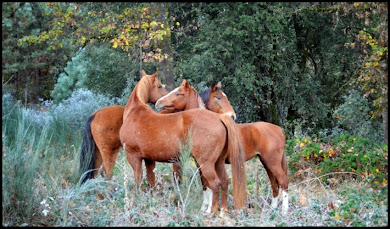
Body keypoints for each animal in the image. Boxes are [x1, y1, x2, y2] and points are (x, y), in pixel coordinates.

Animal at [119, 72, 247, 214]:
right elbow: (151, 181)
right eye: (159, 86)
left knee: (215, 183)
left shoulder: (133, 157)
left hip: (206, 163)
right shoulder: (149, 159)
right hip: (218, 162)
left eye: (177, 93)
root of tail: (219, 118)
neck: (135, 113)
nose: (158, 102)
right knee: (224, 182)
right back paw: (223, 210)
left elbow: (138, 180)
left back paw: (211, 211)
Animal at [155, 79, 290, 215]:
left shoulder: (205, 163)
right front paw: (206, 207)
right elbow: (205, 184)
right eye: (219, 97)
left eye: (178, 93)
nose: (158, 103)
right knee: (275, 184)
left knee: (283, 181)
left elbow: (209, 184)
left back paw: (284, 211)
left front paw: (209, 208)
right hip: (267, 163)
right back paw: (273, 208)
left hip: (272, 162)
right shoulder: (202, 164)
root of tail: (279, 129)